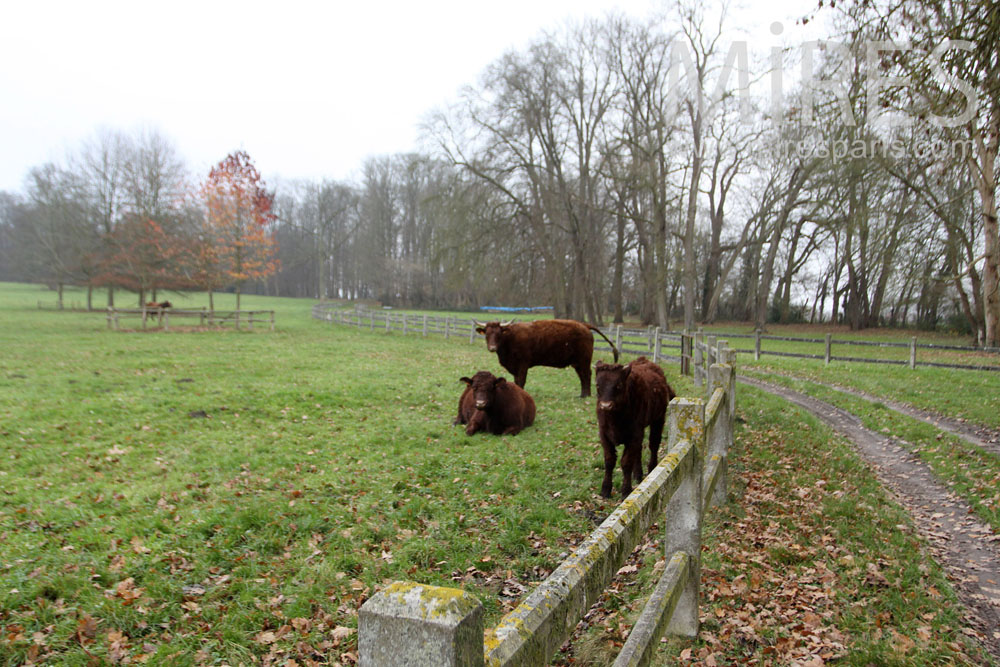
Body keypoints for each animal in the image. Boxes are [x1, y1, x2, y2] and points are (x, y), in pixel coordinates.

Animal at [470, 320, 616, 396]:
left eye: (499, 334)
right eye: (487, 334)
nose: (492, 347)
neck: (510, 338)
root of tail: (584, 325)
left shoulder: (523, 364)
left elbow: (521, 381)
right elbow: (516, 381)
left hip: (584, 360)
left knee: (586, 375)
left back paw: (586, 395)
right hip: (577, 362)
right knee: (583, 376)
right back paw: (583, 395)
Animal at [592, 358, 680, 498]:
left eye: (618, 385)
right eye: (598, 385)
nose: (606, 406)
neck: (614, 419)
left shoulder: (633, 435)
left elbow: (626, 462)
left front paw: (626, 490)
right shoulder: (604, 434)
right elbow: (609, 461)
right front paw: (605, 489)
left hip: (658, 419)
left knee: (654, 444)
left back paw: (651, 468)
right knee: (639, 450)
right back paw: (638, 474)